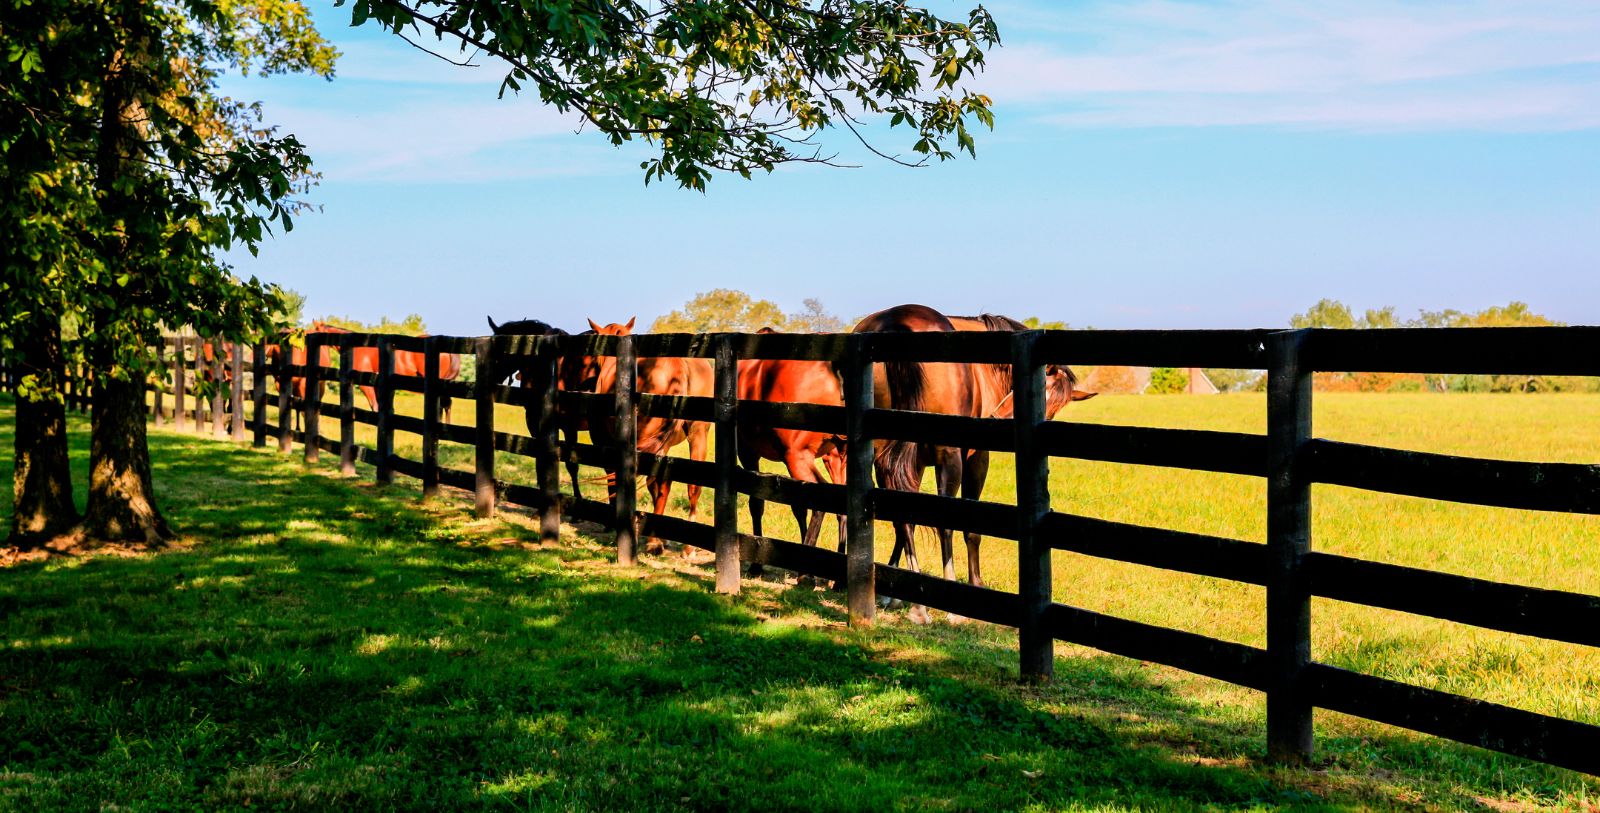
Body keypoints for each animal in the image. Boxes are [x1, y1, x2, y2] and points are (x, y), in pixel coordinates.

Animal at [735, 328, 848, 570]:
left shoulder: (748, 454)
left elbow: (757, 502)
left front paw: (756, 565)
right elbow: (798, 506)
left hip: (798, 458)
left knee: (818, 501)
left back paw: (806, 571)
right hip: (837, 457)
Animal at [854, 304, 1094, 603]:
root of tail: (897, 320)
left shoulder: (911, 464)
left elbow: (905, 518)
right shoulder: (976, 457)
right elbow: (970, 526)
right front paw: (975, 581)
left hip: (883, 454)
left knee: (901, 515)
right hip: (948, 457)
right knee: (946, 520)